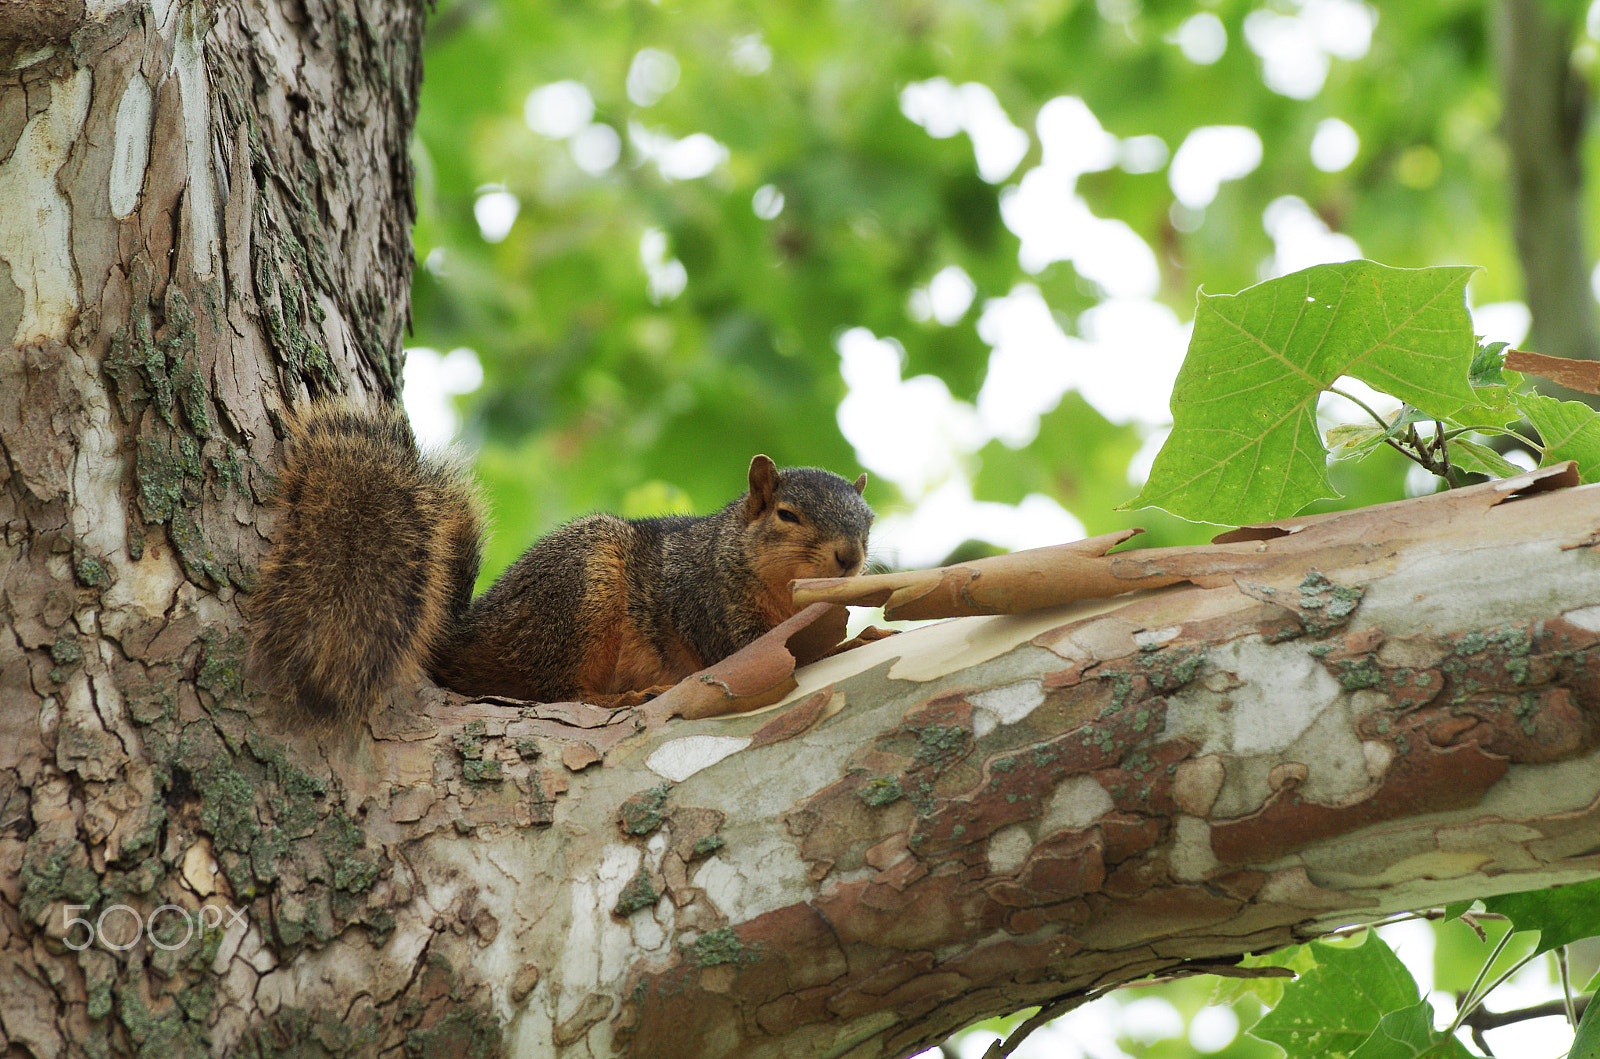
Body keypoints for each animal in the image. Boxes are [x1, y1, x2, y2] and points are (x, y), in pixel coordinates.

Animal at [249, 403, 876, 726]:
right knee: (557, 692)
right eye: (788, 515)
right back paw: (622, 698)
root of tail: (462, 636)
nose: (850, 557)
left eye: (868, 520)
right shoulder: (707, 600)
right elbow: (760, 647)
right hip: (579, 594)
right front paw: (856, 639)